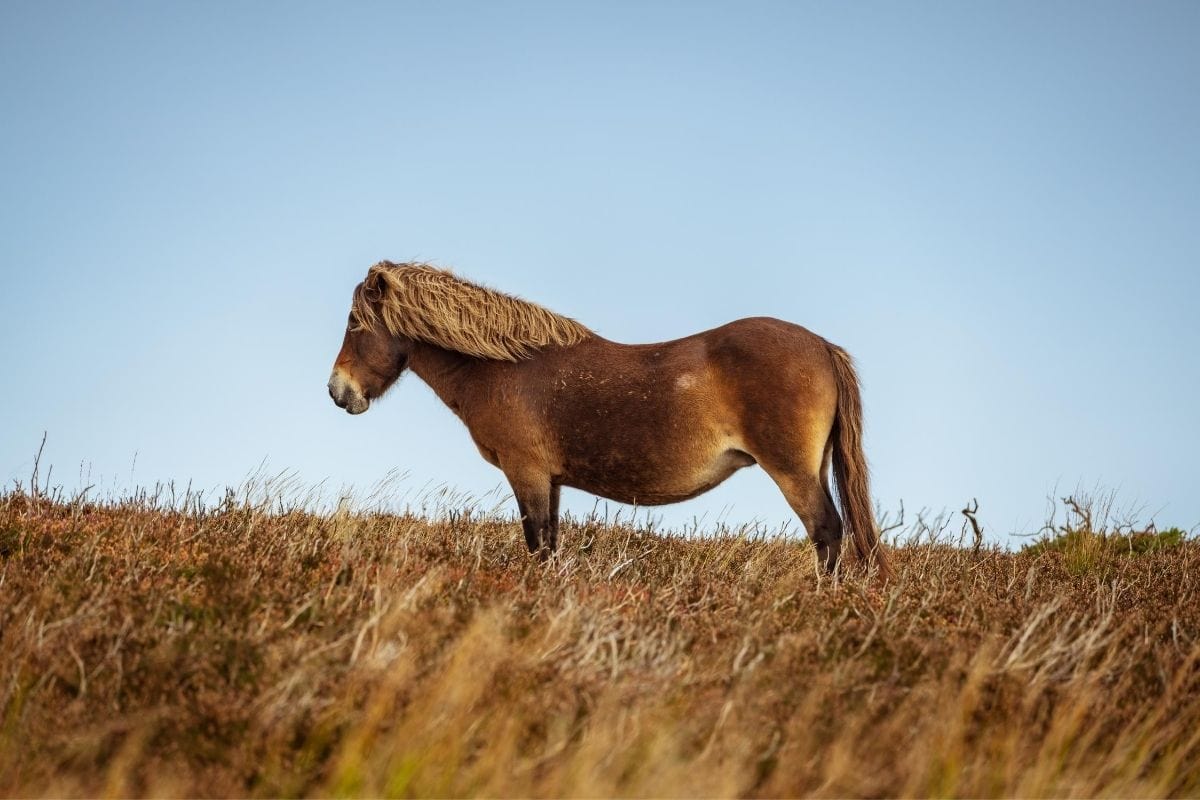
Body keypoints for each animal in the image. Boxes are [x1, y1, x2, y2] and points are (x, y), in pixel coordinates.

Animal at [328, 261, 892, 575]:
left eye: (355, 323)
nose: (338, 391)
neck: (505, 365)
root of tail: (820, 345)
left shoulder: (526, 474)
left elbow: (538, 546)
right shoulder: (550, 481)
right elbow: (551, 546)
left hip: (793, 472)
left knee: (827, 531)